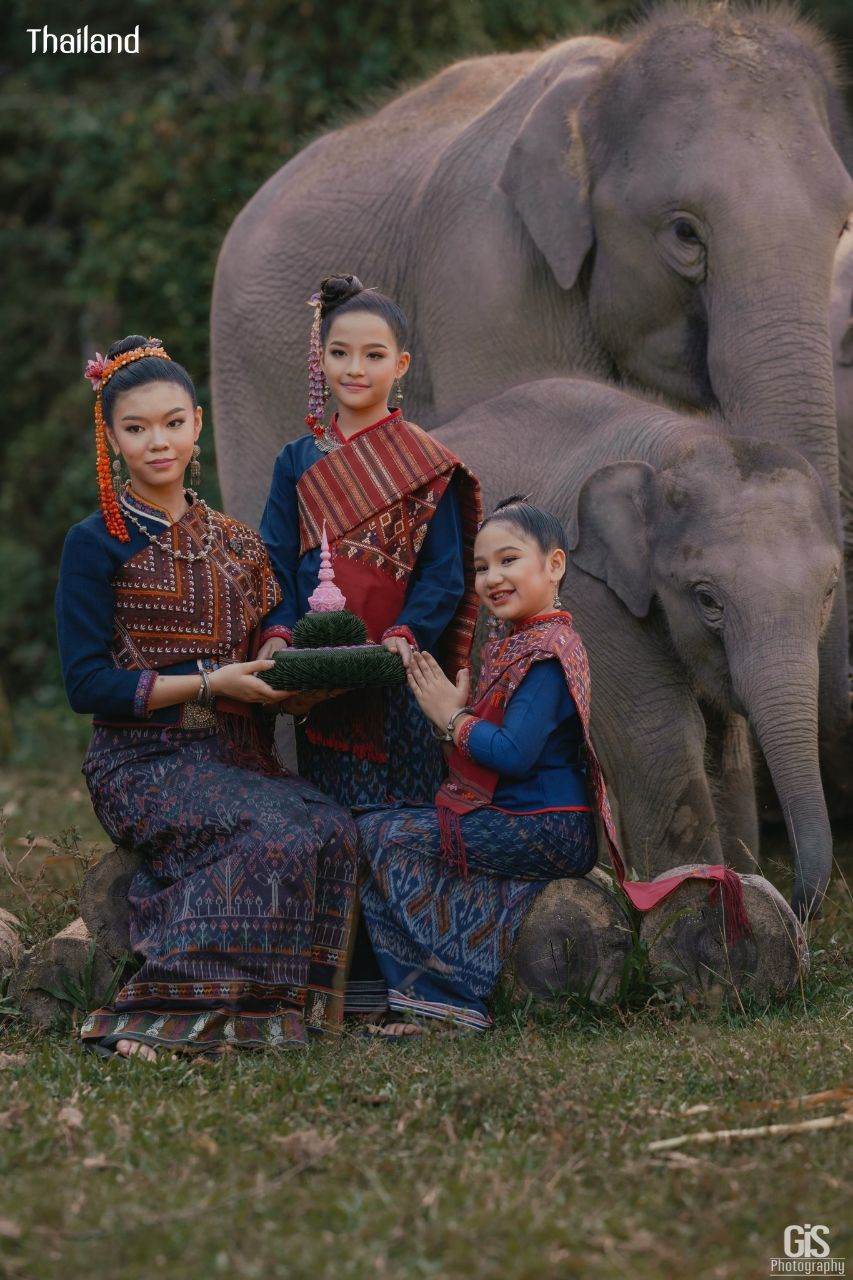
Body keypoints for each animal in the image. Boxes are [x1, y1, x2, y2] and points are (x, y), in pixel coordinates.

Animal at [432, 371, 835, 921]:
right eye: (707, 599)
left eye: (830, 591)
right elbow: (664, 736)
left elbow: (728, 747)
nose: (797, 900)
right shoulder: (593, 601)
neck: (673, 446)